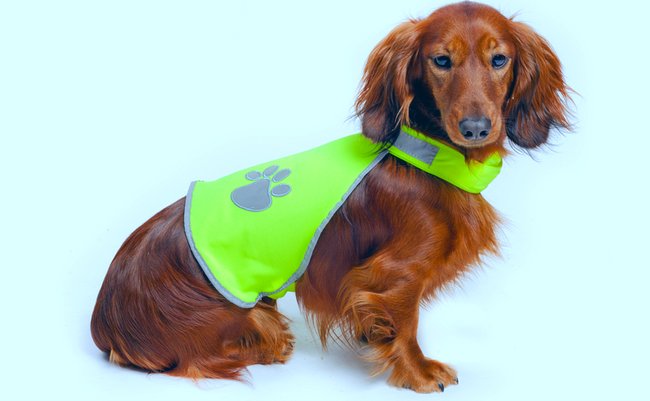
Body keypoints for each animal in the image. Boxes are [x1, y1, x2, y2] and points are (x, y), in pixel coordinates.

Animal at [91, 1, 570, 393]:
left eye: (499, 59)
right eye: (441, 60)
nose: (475, 128)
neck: (424, 158)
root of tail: (106, 324)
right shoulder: (396, 273)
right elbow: (406, 323)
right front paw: (418, 372)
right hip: (246, 314)